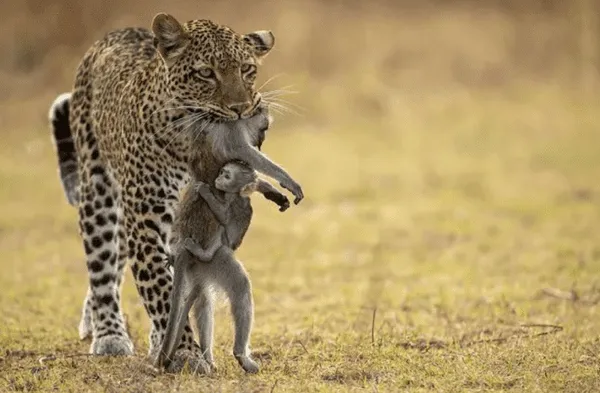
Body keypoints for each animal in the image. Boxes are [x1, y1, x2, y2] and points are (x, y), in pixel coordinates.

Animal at [159, 158, 290, 370]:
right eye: (222, 172)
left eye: (227, 175)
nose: (218, 179)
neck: (234, 195)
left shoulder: (232, 203)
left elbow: (224, 216)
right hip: (208, 262)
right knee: (210, 298)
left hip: (216, 258)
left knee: (232, 287)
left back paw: (236, 354)